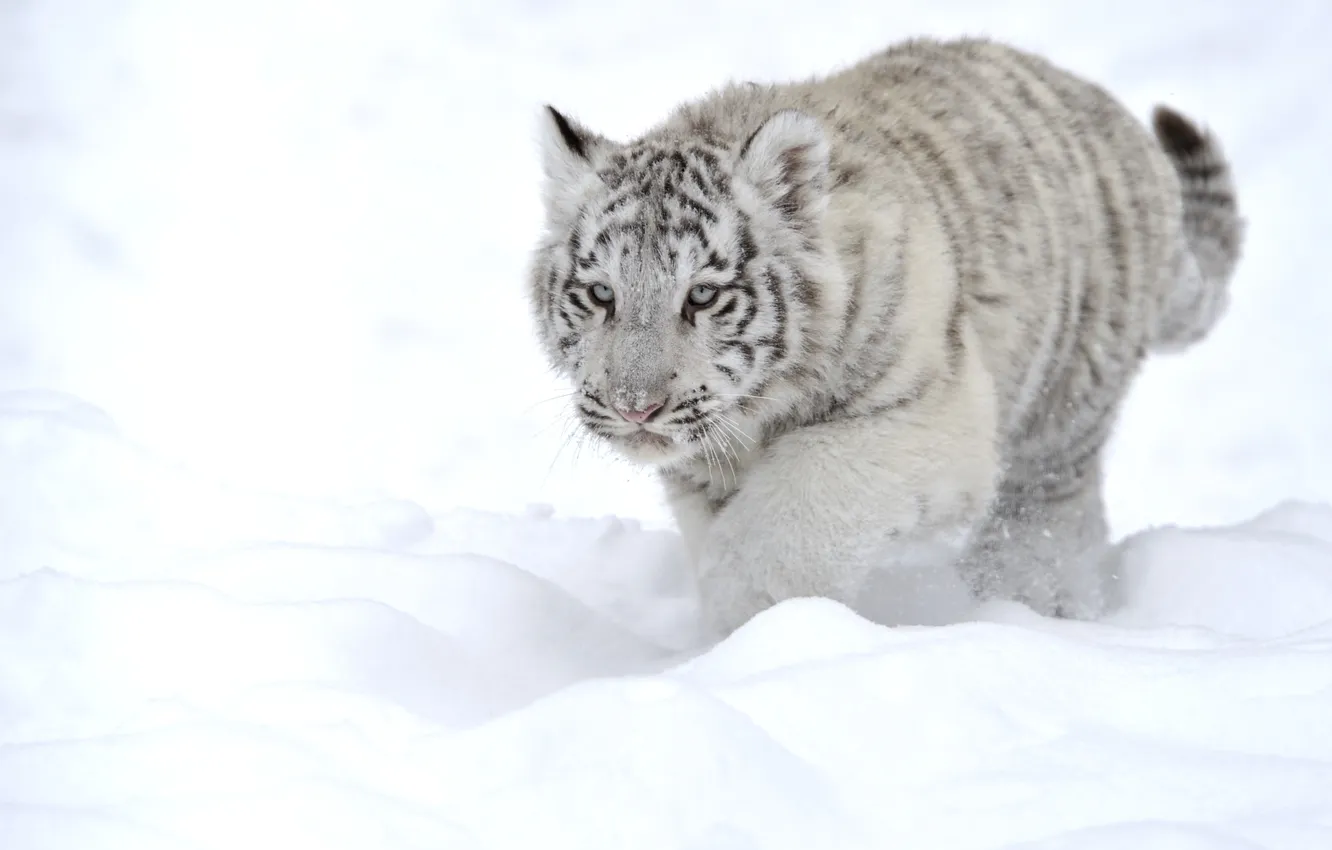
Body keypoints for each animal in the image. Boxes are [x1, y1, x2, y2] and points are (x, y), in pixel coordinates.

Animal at [526, 36, 1243, 637]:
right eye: (601, 294)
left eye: (702, 295)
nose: (634, 408)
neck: (757, 418)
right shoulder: (702, 472)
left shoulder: (933, 416)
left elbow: (796, 509)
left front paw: (758, 621)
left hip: (1061, 411)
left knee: (1047, 520)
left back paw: (1032, 609)